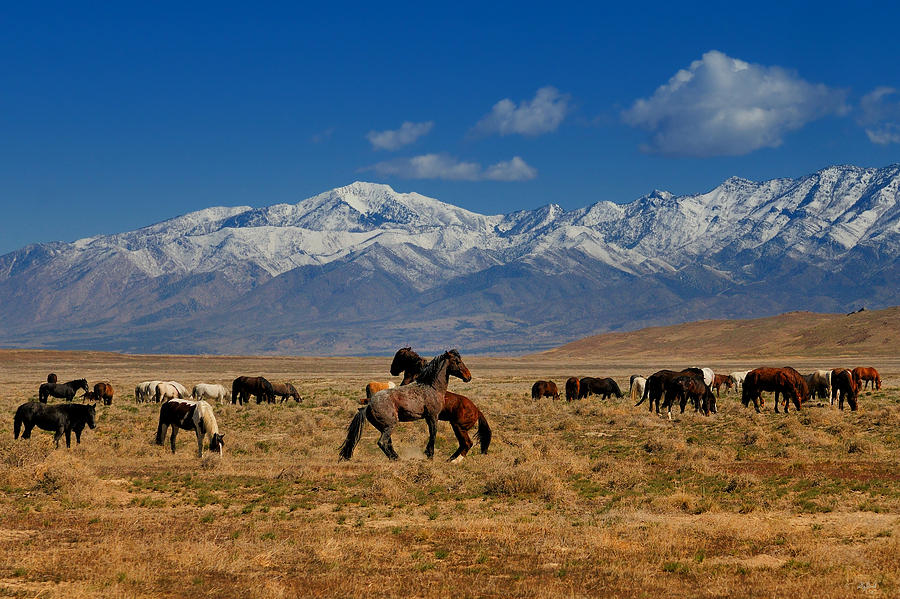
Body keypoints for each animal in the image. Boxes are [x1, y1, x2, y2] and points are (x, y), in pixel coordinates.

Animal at [339, 350, 472, 462]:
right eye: (457, 361)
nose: (468, 377)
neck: (431, 387)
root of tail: (369, 405)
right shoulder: (433, 416)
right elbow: (433, 434)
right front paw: (430, 455)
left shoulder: (429, 418)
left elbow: (432, 434)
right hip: (389, 426)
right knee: (382, 443)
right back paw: (397, 459)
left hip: (384, 427)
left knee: (388, 443)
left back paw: (396, 458)